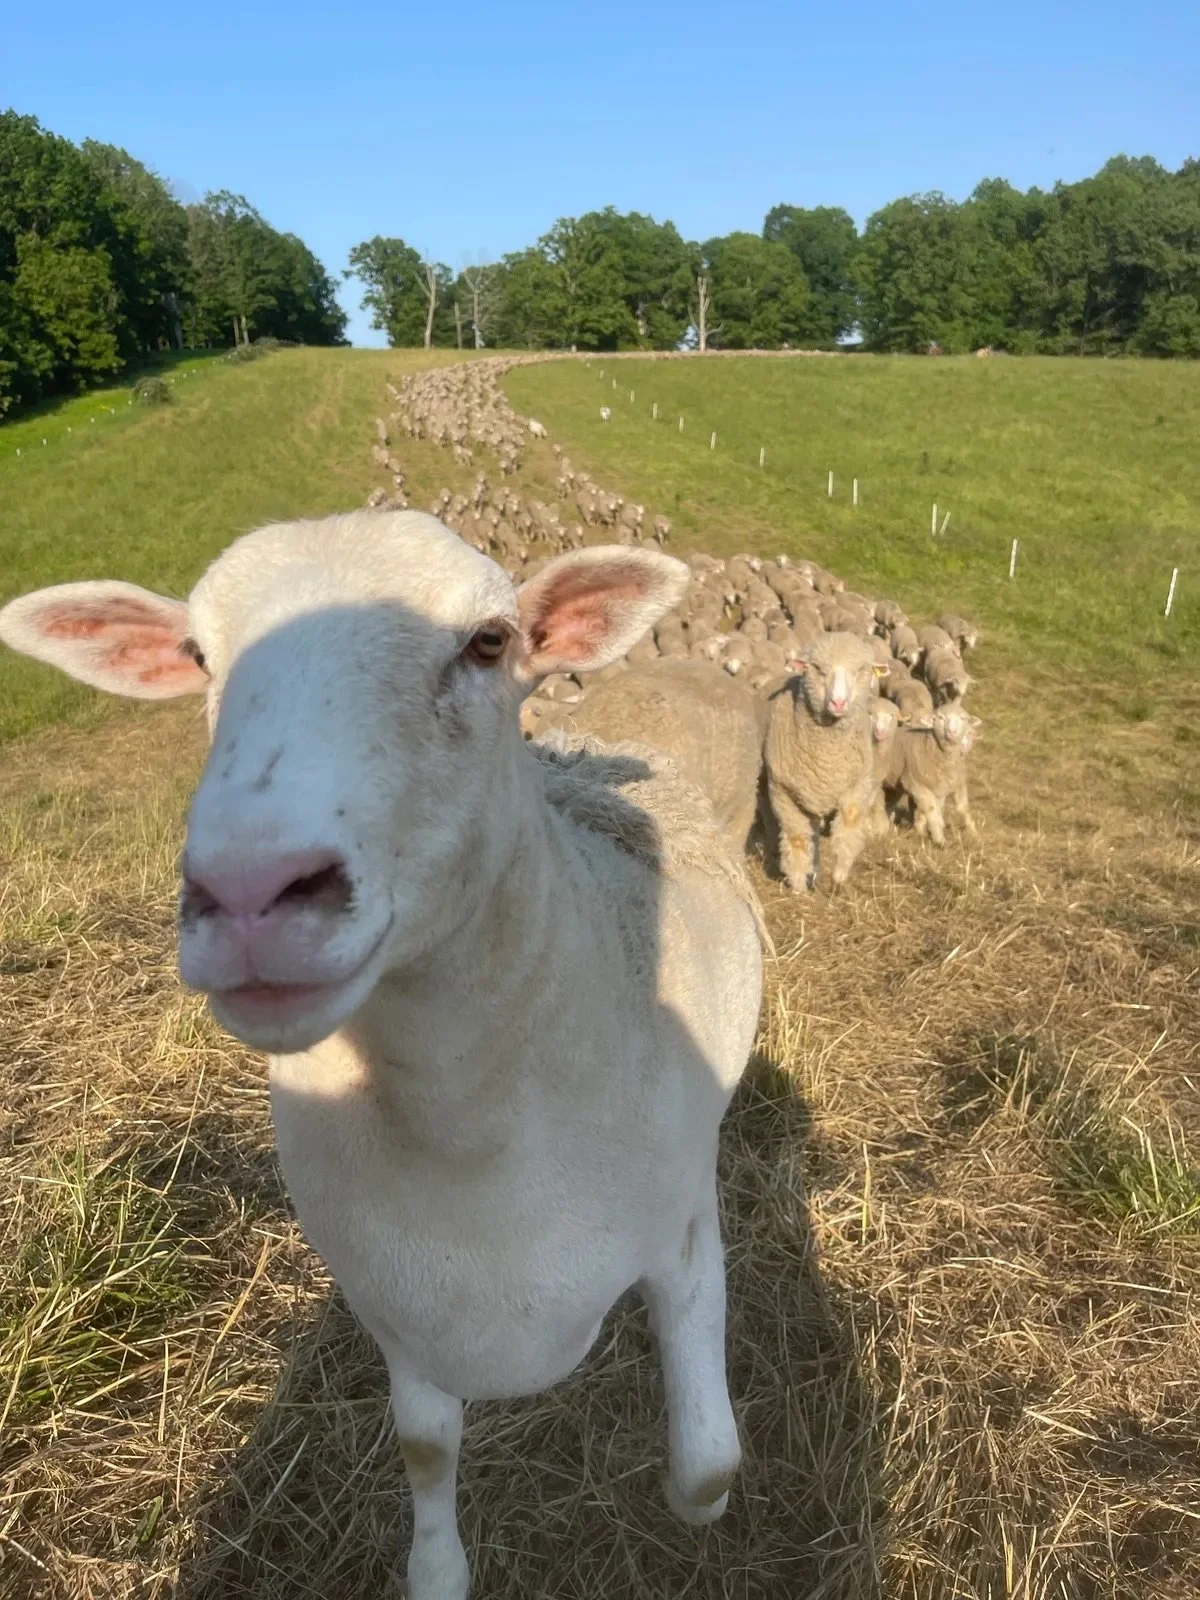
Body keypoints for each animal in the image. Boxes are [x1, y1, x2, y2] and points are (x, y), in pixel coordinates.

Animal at [0, 514, 764, 1600]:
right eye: (198, 656)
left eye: (489, 641)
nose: (249, 893)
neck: (472, 1132)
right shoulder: (394, 1298)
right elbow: (425, 1449)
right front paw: (437, 1568)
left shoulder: (683, 1233)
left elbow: (705, 1471)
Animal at [764, 632, 882, 891]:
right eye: (818, 668)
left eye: (860, 670)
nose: (838, 703)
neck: (828, 757)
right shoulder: (783, 791)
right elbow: (797, 838)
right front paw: (798, 885)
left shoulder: (857, 787)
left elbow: (848, 827)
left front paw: (839, 878)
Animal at [881, 704, 980, 844]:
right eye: (940, 718)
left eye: (963, 718)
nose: (951, 732)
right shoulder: (916, 784)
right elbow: (932, 810)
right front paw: (939, 839)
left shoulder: (945, 787)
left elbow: (957, 808)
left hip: (892, 785)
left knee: (888, 803)